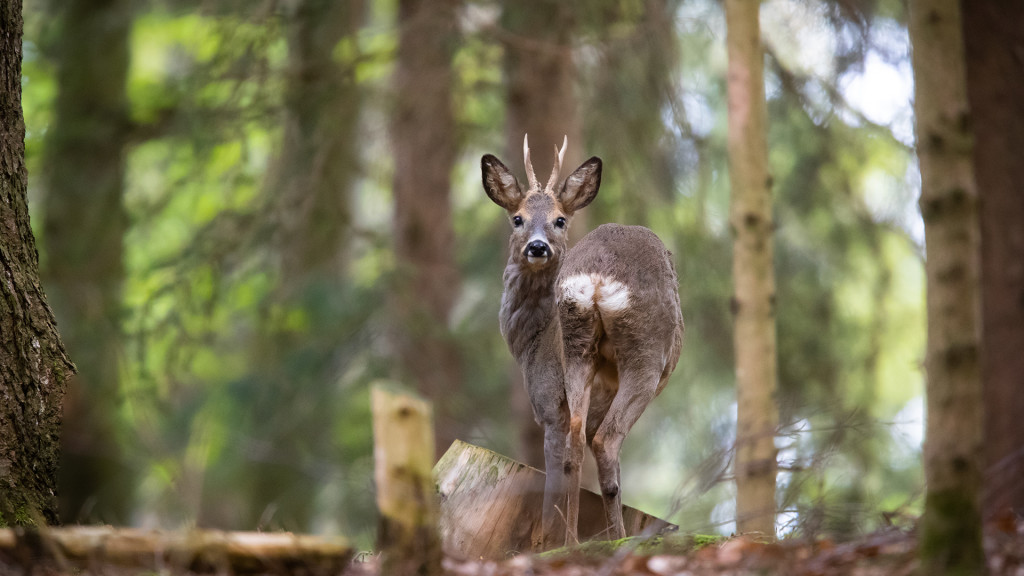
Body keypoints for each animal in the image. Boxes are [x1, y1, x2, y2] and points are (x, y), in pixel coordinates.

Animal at [481, 133, 688, 545]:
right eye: (517, 218)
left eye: (560, 220)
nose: (538, 246)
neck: (531, 343)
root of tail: (596, 279)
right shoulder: (546, 400)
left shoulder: (554, 396)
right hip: (645, 354)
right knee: (604, 441)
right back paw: (614, 538)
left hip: (577, 348)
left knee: (577, 445)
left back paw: (572, 541)